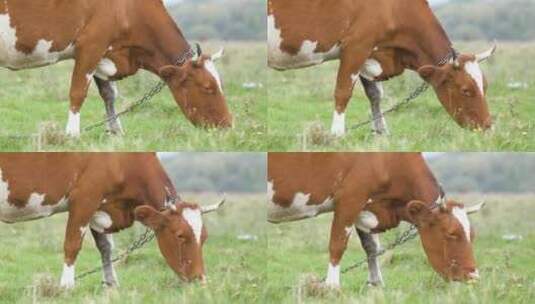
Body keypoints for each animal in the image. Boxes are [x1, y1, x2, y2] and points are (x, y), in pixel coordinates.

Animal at [0, 0, 232, 137]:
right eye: (208, 87)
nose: (228, 125)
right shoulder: (91, 46)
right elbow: (77, 93)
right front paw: (72, 134)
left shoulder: (105, 53)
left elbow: (109, 94)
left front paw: (116, 132)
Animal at [0, 153, 226, 288]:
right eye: (180, 235)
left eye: (205, 238)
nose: (200, 280)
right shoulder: (85, 199)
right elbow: (72, 244)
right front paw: (66, 286)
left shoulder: (99, 207)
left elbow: (105, 248)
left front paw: (111, 285)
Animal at [268, 0, 498, 135]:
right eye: (466, 90)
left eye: (485, 87)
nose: (488, 126)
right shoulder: (356, 47)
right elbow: (343, 92)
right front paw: (336, 135)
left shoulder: (370, 52)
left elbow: (375, 95)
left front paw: (381, 132)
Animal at [268, 153, 486, 288]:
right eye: (451, 234)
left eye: (473, 235)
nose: (473, 277)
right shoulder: (350, 200)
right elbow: (337, 245)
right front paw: (332, 287)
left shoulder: (364, 207)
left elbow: (371, 248)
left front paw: (376, 284)